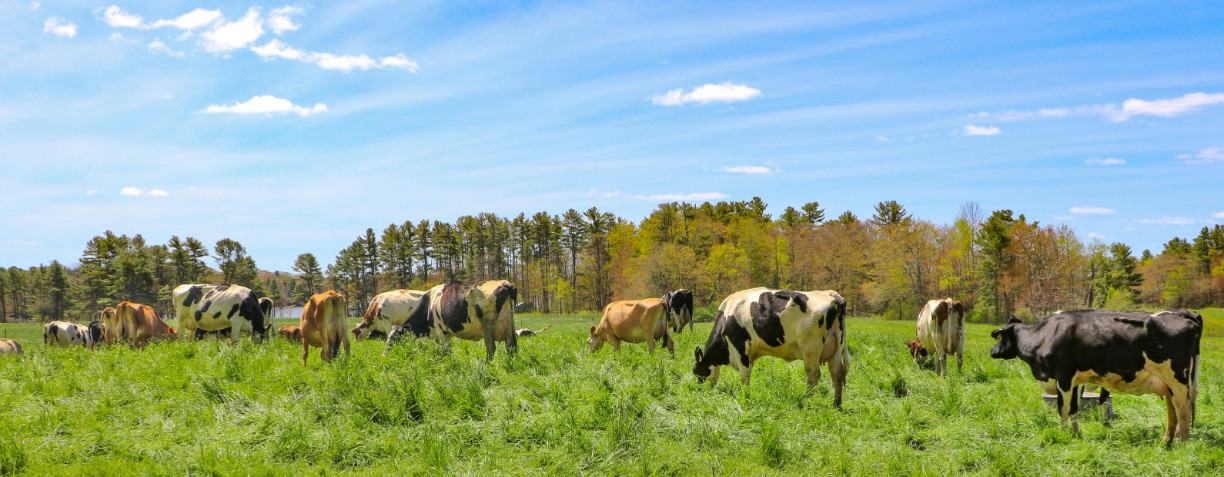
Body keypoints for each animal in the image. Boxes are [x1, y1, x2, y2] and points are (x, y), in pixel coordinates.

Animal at [984, 309, 1204, 442]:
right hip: (1167, 382)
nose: (992, 351)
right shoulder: (1074, 381)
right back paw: (1167, 441)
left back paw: (1182, 443)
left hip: (1178, 378)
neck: (1045, 335)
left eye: (1000, 337)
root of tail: (1185, 314)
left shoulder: (1064, 376)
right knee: (1172, 410)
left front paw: (1062, 436)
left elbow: (1063, 410)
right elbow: (1073, 409)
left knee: (1183, 408)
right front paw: (1075, 435)